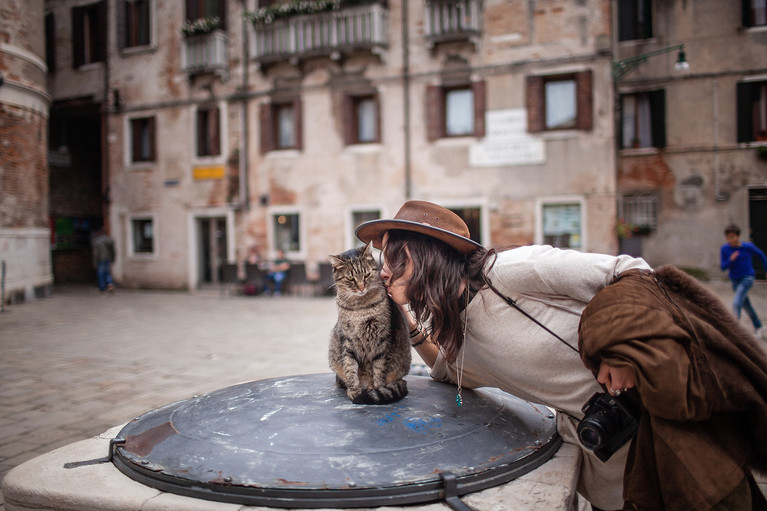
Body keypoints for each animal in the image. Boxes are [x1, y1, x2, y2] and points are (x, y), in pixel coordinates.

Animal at [330, 242, 414, 406]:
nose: (362, 287)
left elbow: (378, 369)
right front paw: (354, 389)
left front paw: (377, 388)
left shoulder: (382, 339)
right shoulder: (347, 339)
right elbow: (349, 366)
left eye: (367, 274)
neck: (359, 308)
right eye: (350, 278)